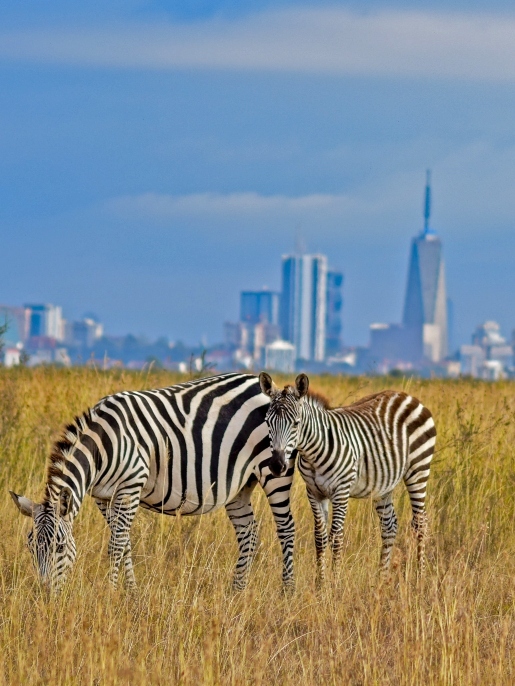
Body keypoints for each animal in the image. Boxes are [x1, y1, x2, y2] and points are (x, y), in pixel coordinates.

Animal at [10, 373, 296, 593]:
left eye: (59, 547)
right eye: (30, 547)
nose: (45, 594)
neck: (103, 446)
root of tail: (261, 385)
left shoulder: (131, 485)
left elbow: (116, 545)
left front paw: (110, 594)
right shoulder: (102, 496)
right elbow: (124, 544)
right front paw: (131, 593)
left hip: (274, 470)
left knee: (286, 528)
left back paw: (287, 592)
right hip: (240, 485)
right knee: (249, 533)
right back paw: (236, 591)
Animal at [259, 372, 436, 582]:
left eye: (296, 423)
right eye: (268, 422)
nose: (277, 466)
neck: (313, 453)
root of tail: (406, 395)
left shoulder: (341, 491)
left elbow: (336, 537)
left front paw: (334, 583)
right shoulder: (314, 492)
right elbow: (320, 537)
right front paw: (320, 584)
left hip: (418, 469)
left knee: (420, 523)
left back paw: (420, 577)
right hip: (383, 483)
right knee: (389, 526)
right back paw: (381, 578)